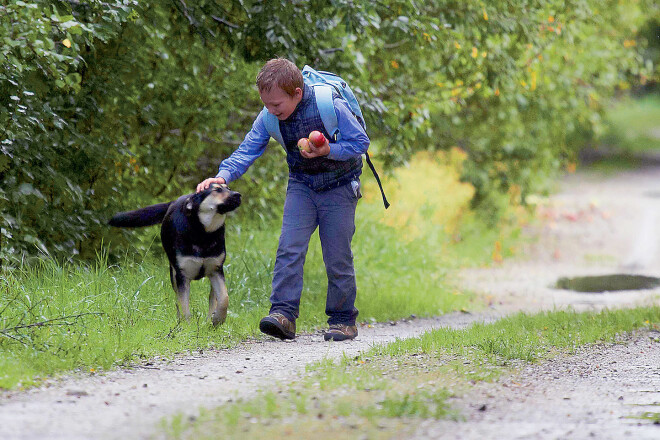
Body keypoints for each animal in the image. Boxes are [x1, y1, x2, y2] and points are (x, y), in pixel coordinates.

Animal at [109, 184, 241, 324]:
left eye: (228, 188)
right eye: (217, 190)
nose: (238, 195)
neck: (203, 234)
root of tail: (174, 201)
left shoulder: (216, 270)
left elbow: (224, 298)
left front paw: (217, 319)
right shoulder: (182, 275)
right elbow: (184, 306)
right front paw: (187, 325)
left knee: (213, 298)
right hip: (173, 272)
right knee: (179, 299)